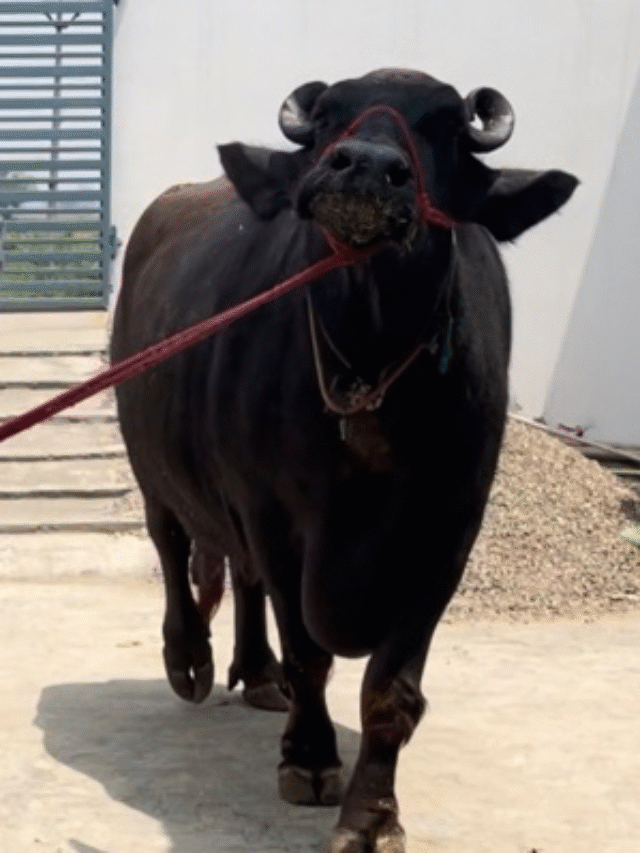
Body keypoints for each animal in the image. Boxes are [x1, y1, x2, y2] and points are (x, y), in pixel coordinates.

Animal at [111, 68, 577, 853]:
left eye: (447, 128)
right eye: (330, 117)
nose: (364, 166)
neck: (369, 364)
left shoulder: (448, 532)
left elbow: (392, 689)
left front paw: (372, 815)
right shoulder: (273, 512)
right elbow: (310, 652)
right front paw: (309, 759)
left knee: (241, 577)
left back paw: (256, 673)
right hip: (150, 460)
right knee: (173, 546)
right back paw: (191, 659)